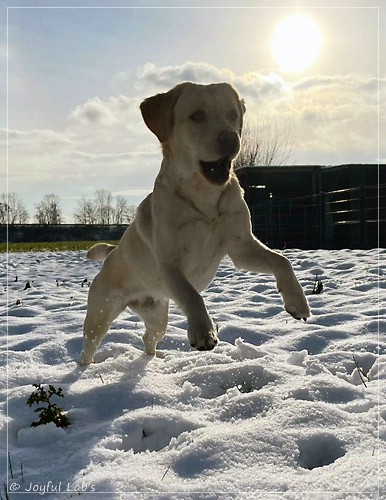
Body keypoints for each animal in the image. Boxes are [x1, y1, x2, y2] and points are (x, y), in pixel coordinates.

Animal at [79, 80, 310, 366]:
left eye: (232, 114)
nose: (231, 138)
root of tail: (113, 252)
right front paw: (203, 331)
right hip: (100, 314)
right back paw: (83, 368)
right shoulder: (169, 263)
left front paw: (297, 302)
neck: (204, 197)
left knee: (148, 338)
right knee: (89, 345)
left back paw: (153, 360)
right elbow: (192, 294)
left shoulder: (241, 246)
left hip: (157, 316)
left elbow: (282, 260)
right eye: (197, 115)